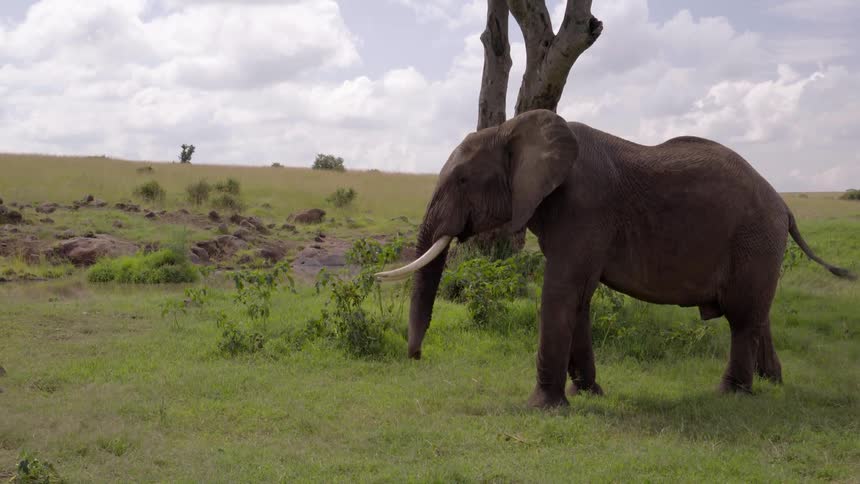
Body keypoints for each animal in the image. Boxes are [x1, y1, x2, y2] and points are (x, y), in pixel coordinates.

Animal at [376, 109, 856, 408]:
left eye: (461, 179)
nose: (416, 357)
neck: (515, 128)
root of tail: (785, 205)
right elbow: (579, 299)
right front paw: (588, 394)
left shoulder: (584, 207)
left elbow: (562, 292)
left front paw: (543, 407)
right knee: (758, 313)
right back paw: (771, 383)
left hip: (754, 237)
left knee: (741, 318)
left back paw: (730, 394)